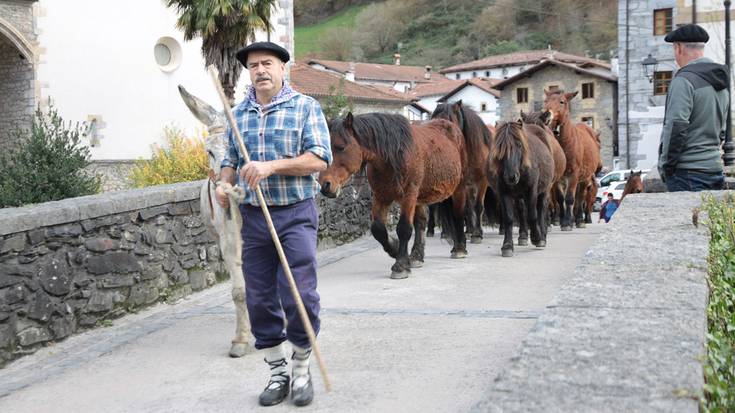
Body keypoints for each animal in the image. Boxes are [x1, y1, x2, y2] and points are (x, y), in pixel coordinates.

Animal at [320, 112, 468, 278]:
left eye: (341, 147)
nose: (325, 185)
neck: (392, 157)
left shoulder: (409, 195)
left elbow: (404, 228)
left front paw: (400, 265)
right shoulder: (381, 196)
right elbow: (377, 229)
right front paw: (395, 249)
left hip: (458, 188)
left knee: (458, 215)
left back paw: (459, 248)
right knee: (421, 222)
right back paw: (416, 257)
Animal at [486, 119, 556, 256]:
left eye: (519, 145)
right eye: (499, 147)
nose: (511, 176)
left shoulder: (531, 190)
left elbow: (532, 215)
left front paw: (537, 238)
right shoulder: (504, 192)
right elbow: (508, 218)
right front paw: (507, 246)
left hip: (544, 190)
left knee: (541, 209)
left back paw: (542, 237)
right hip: (519, 196)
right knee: (522, 210)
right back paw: (523, 236)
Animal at [544, 90, 600, 230]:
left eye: (562, 101)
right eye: (545, 101)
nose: (546, 114)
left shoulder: (574, 173)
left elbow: (570, 198)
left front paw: (568, 222)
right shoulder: (558, 177)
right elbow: (560, 199)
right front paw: (563, 221)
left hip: (585, 178)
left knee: (580, 197)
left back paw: (579, 220)